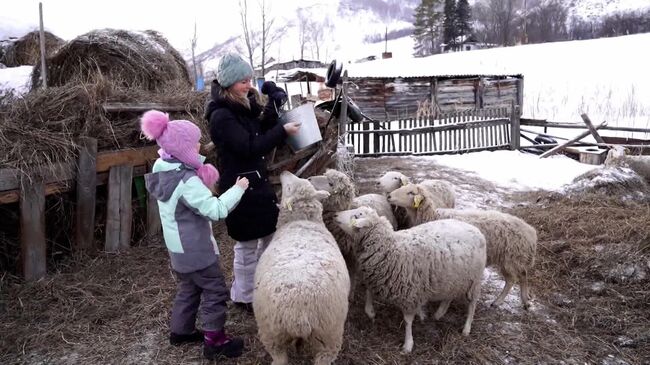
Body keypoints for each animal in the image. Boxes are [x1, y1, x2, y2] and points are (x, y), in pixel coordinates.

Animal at [252, 171, 350, 364]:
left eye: (289, 188)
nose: (284, 172)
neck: (301, 222)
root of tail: (298, 316)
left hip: (279, 335)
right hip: (323, 334)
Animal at [332, 206, 484, 352]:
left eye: (357, 215)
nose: (335, 214)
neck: (390, 248)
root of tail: (476, 230)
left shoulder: (409, 294)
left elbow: (407, 321)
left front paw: (408, 344)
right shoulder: (378, 276)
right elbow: (369, 290)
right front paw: (370, 311)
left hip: (474, 281)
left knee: (472, 305)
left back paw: (466, 328)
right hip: (454, 278)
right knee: (449, 296)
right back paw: (439, 314)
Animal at [388, 183, 536, 308]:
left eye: (411, 192)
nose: (389, 196)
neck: (432, 216)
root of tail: (530, 232)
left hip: (511, 258)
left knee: (512, 280)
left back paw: (498, 301)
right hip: (515, 259)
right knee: (523, 274)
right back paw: (525, 300)